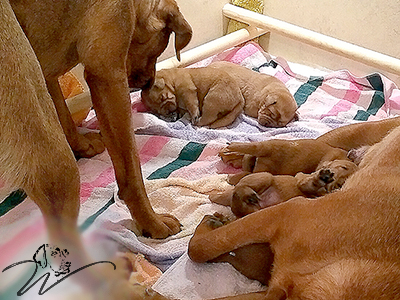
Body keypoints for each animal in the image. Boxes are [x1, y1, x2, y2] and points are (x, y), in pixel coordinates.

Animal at [11, 0, 193, 239]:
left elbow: (64, 115)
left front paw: (82, 145)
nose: (147, 84)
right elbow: (131, 171)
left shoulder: (45, 76)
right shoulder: (107, 76)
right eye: (158, 48)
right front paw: (151, 222)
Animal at [211, 159, 358, 218]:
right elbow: (311, 183)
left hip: (254, 210)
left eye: (342, 183)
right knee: (238, 190)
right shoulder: (303, 181)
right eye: (343, 167)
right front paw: (322, 178)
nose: (334, 180)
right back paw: (248, 194)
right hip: (265, 176)